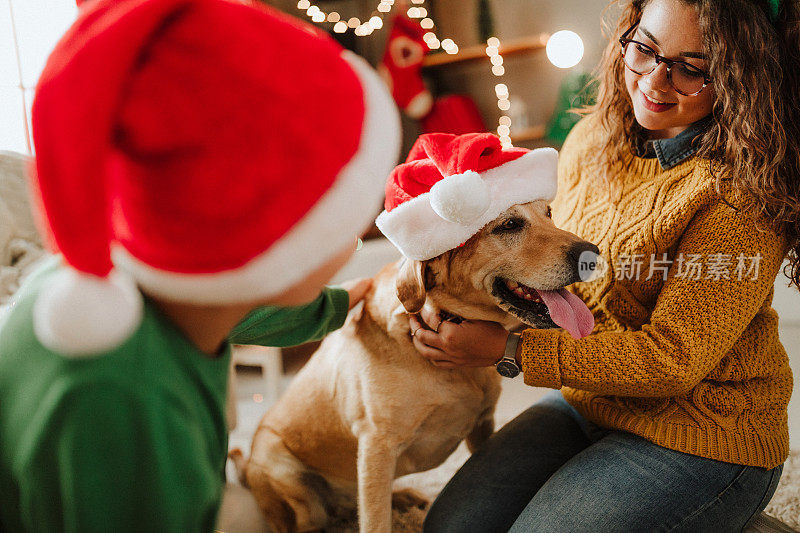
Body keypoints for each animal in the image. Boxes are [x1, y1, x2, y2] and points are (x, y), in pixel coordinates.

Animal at [234, 201, 596, 532]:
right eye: (508, 225)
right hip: (288, 475)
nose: (592, 254)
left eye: (549, 212)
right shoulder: (376, 447)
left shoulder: (483, 425)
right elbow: (375, 522)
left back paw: (404, 498)